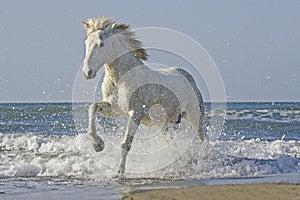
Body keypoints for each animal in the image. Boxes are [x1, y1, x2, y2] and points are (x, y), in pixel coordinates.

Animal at [81, 16, 205, 176]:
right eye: (86, 43)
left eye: (101, 44)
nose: (87, 72)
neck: (120, 79)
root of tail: (188, 76)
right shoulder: (115, 110)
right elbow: (93, 107)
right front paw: (98, 145)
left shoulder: (135, 112)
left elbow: (126, 143)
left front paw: (120, 171)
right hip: (163, 125)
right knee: (171, 144)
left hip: (194, 116)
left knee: (203, 138)